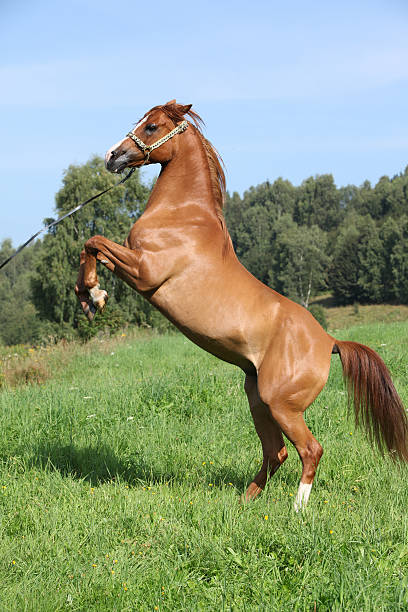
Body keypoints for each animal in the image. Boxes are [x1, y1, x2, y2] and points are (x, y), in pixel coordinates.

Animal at [74, 101, 408, 512]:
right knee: (277, 452)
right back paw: (245, 501)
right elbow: (90, 248)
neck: (182, 216)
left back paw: (296, 510)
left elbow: (94, 241)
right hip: (257, 399)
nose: (112, 156)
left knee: (309, 450)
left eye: (151, 126)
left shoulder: (144, 271)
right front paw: (89, 298)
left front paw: (94, 295)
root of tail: (329, 341)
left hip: (281, 404)